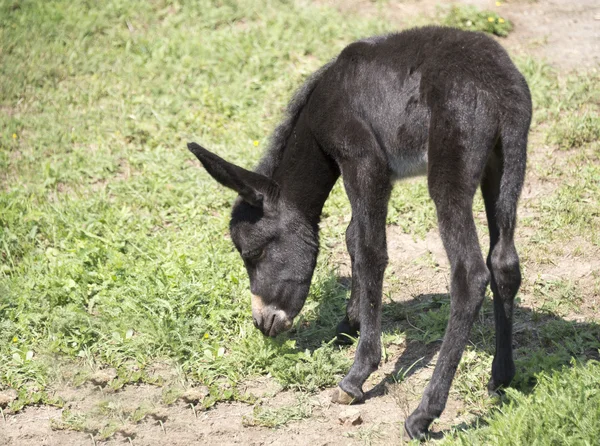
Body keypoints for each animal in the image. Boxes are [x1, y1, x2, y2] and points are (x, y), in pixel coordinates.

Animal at [190, 27, 532, 440]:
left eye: (252, 253)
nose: (262, 323)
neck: (324, 100)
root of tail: (499, 86)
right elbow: (354, 237)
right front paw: (348, 325)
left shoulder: (364, 161)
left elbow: (370, 251)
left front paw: (357, 374)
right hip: (503, 163)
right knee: (504, 264)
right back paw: (502, 378)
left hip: (451, 169)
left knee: (470, 274)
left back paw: (423, 415)